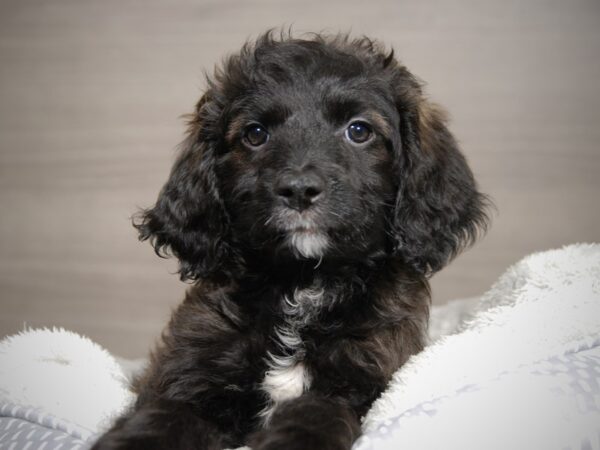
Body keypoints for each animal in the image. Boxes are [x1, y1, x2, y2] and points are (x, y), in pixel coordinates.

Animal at [92, 32, 488, 450]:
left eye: (359, 131)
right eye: (255, 134)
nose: (299, 190)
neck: (303, 285)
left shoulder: (359, 381)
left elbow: (313, 414)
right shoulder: (188, 371)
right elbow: (162, 416)